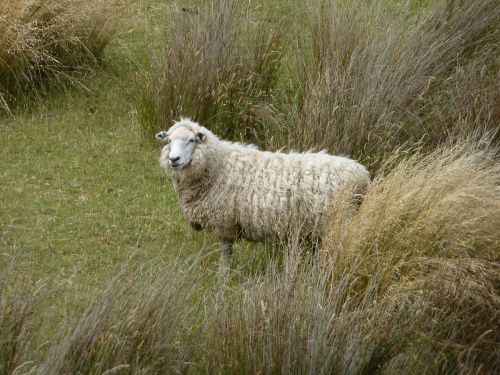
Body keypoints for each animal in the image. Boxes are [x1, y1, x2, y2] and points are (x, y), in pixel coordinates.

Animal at [157, 119, 372, 268]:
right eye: (169, 140)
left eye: (191, 140)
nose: (173, 159)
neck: (219, 166)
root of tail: (363, 175)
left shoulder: (224, 222)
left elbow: (226, 253)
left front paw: (224, 277)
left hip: (341, 221)